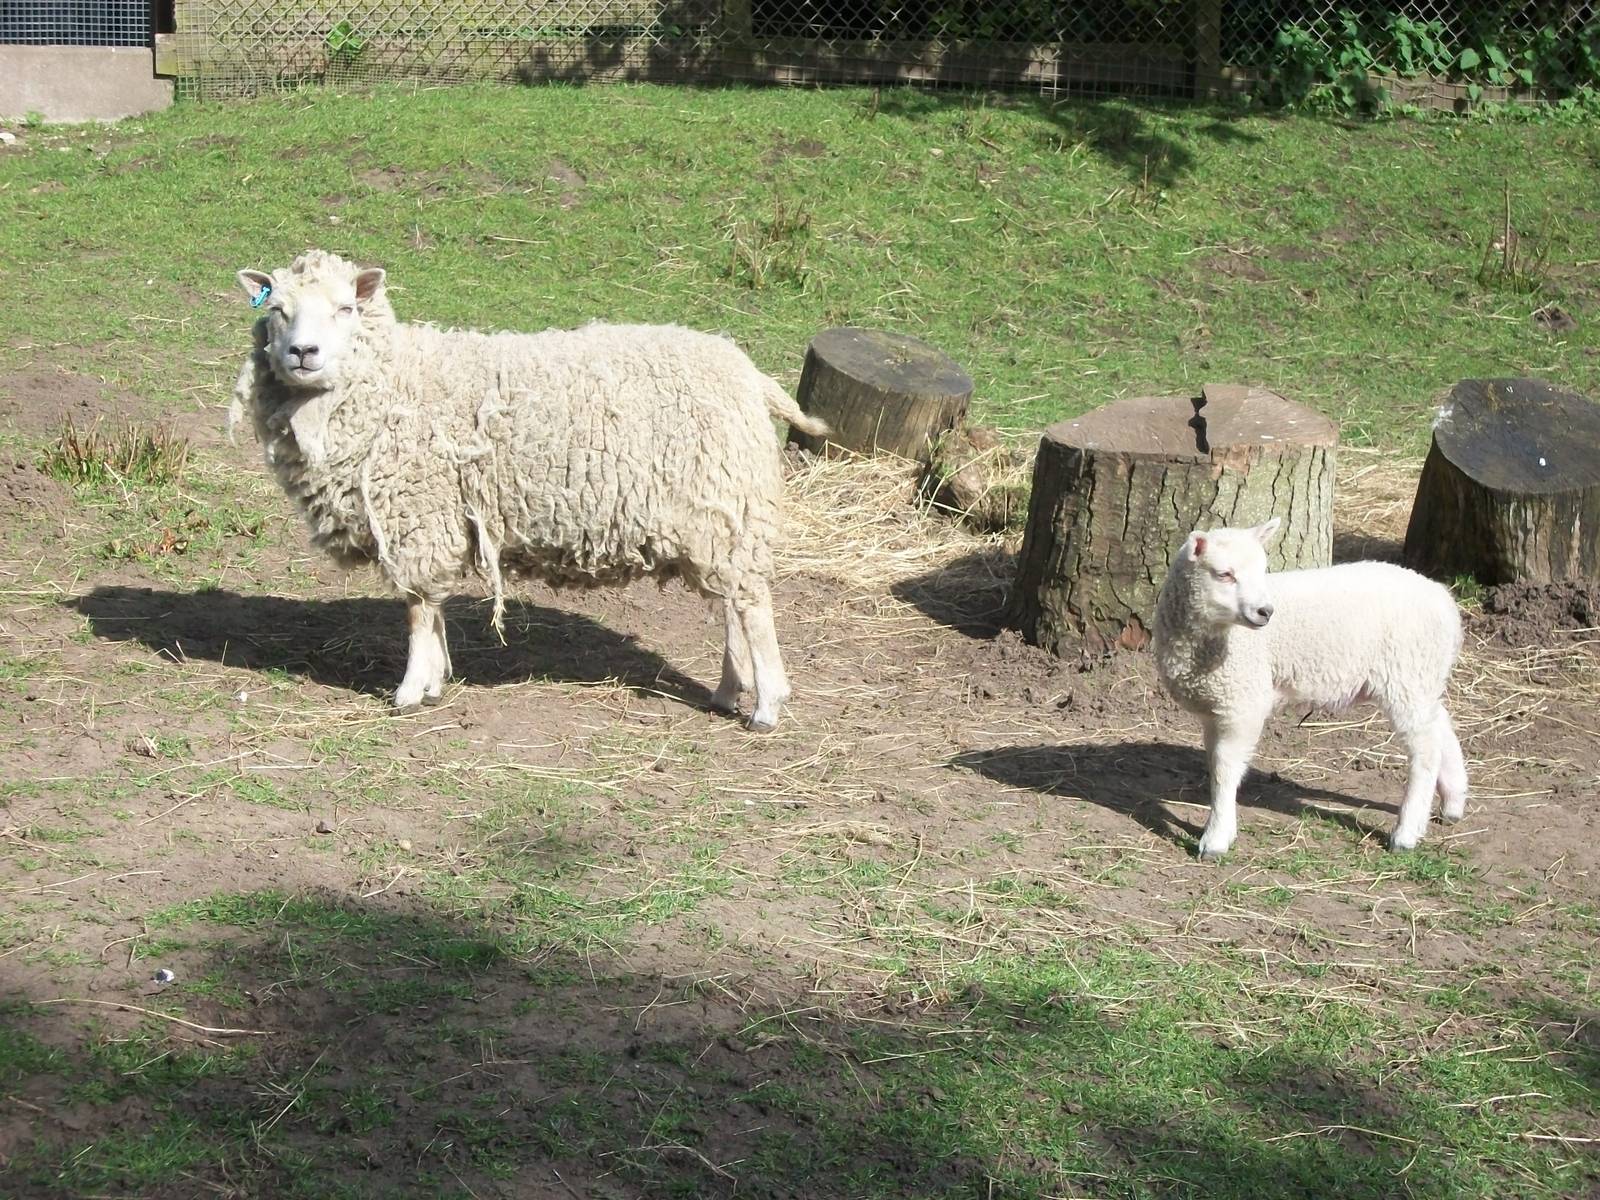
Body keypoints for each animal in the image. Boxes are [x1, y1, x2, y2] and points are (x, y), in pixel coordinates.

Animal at [228, 249, 830, 729]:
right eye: (277, 310)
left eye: (345, 309)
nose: (303, 353)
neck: (394, 379)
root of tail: (748, 375)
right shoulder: (439, 518)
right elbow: (433, 608)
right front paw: (436, 678)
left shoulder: (418, 514)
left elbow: (419, 608)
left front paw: (410, 690)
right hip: (718, 516)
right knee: (733, 606)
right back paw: (728, 691)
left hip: (727, 502)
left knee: (752, 607)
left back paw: (767, 706)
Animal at [1152, 519, 1467, 858]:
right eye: (1224, 574)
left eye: (1263, 570)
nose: (1265, 611)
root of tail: (1445, 602)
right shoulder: (1216, 704)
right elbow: (1214, 761)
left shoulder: (1243, 702)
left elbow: (1225, 768)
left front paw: (1216, 837)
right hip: (1421, 676)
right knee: (1439, 724)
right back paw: (1453, 801)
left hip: (1407, 672)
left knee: (1425, 750)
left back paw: (1406, 833)